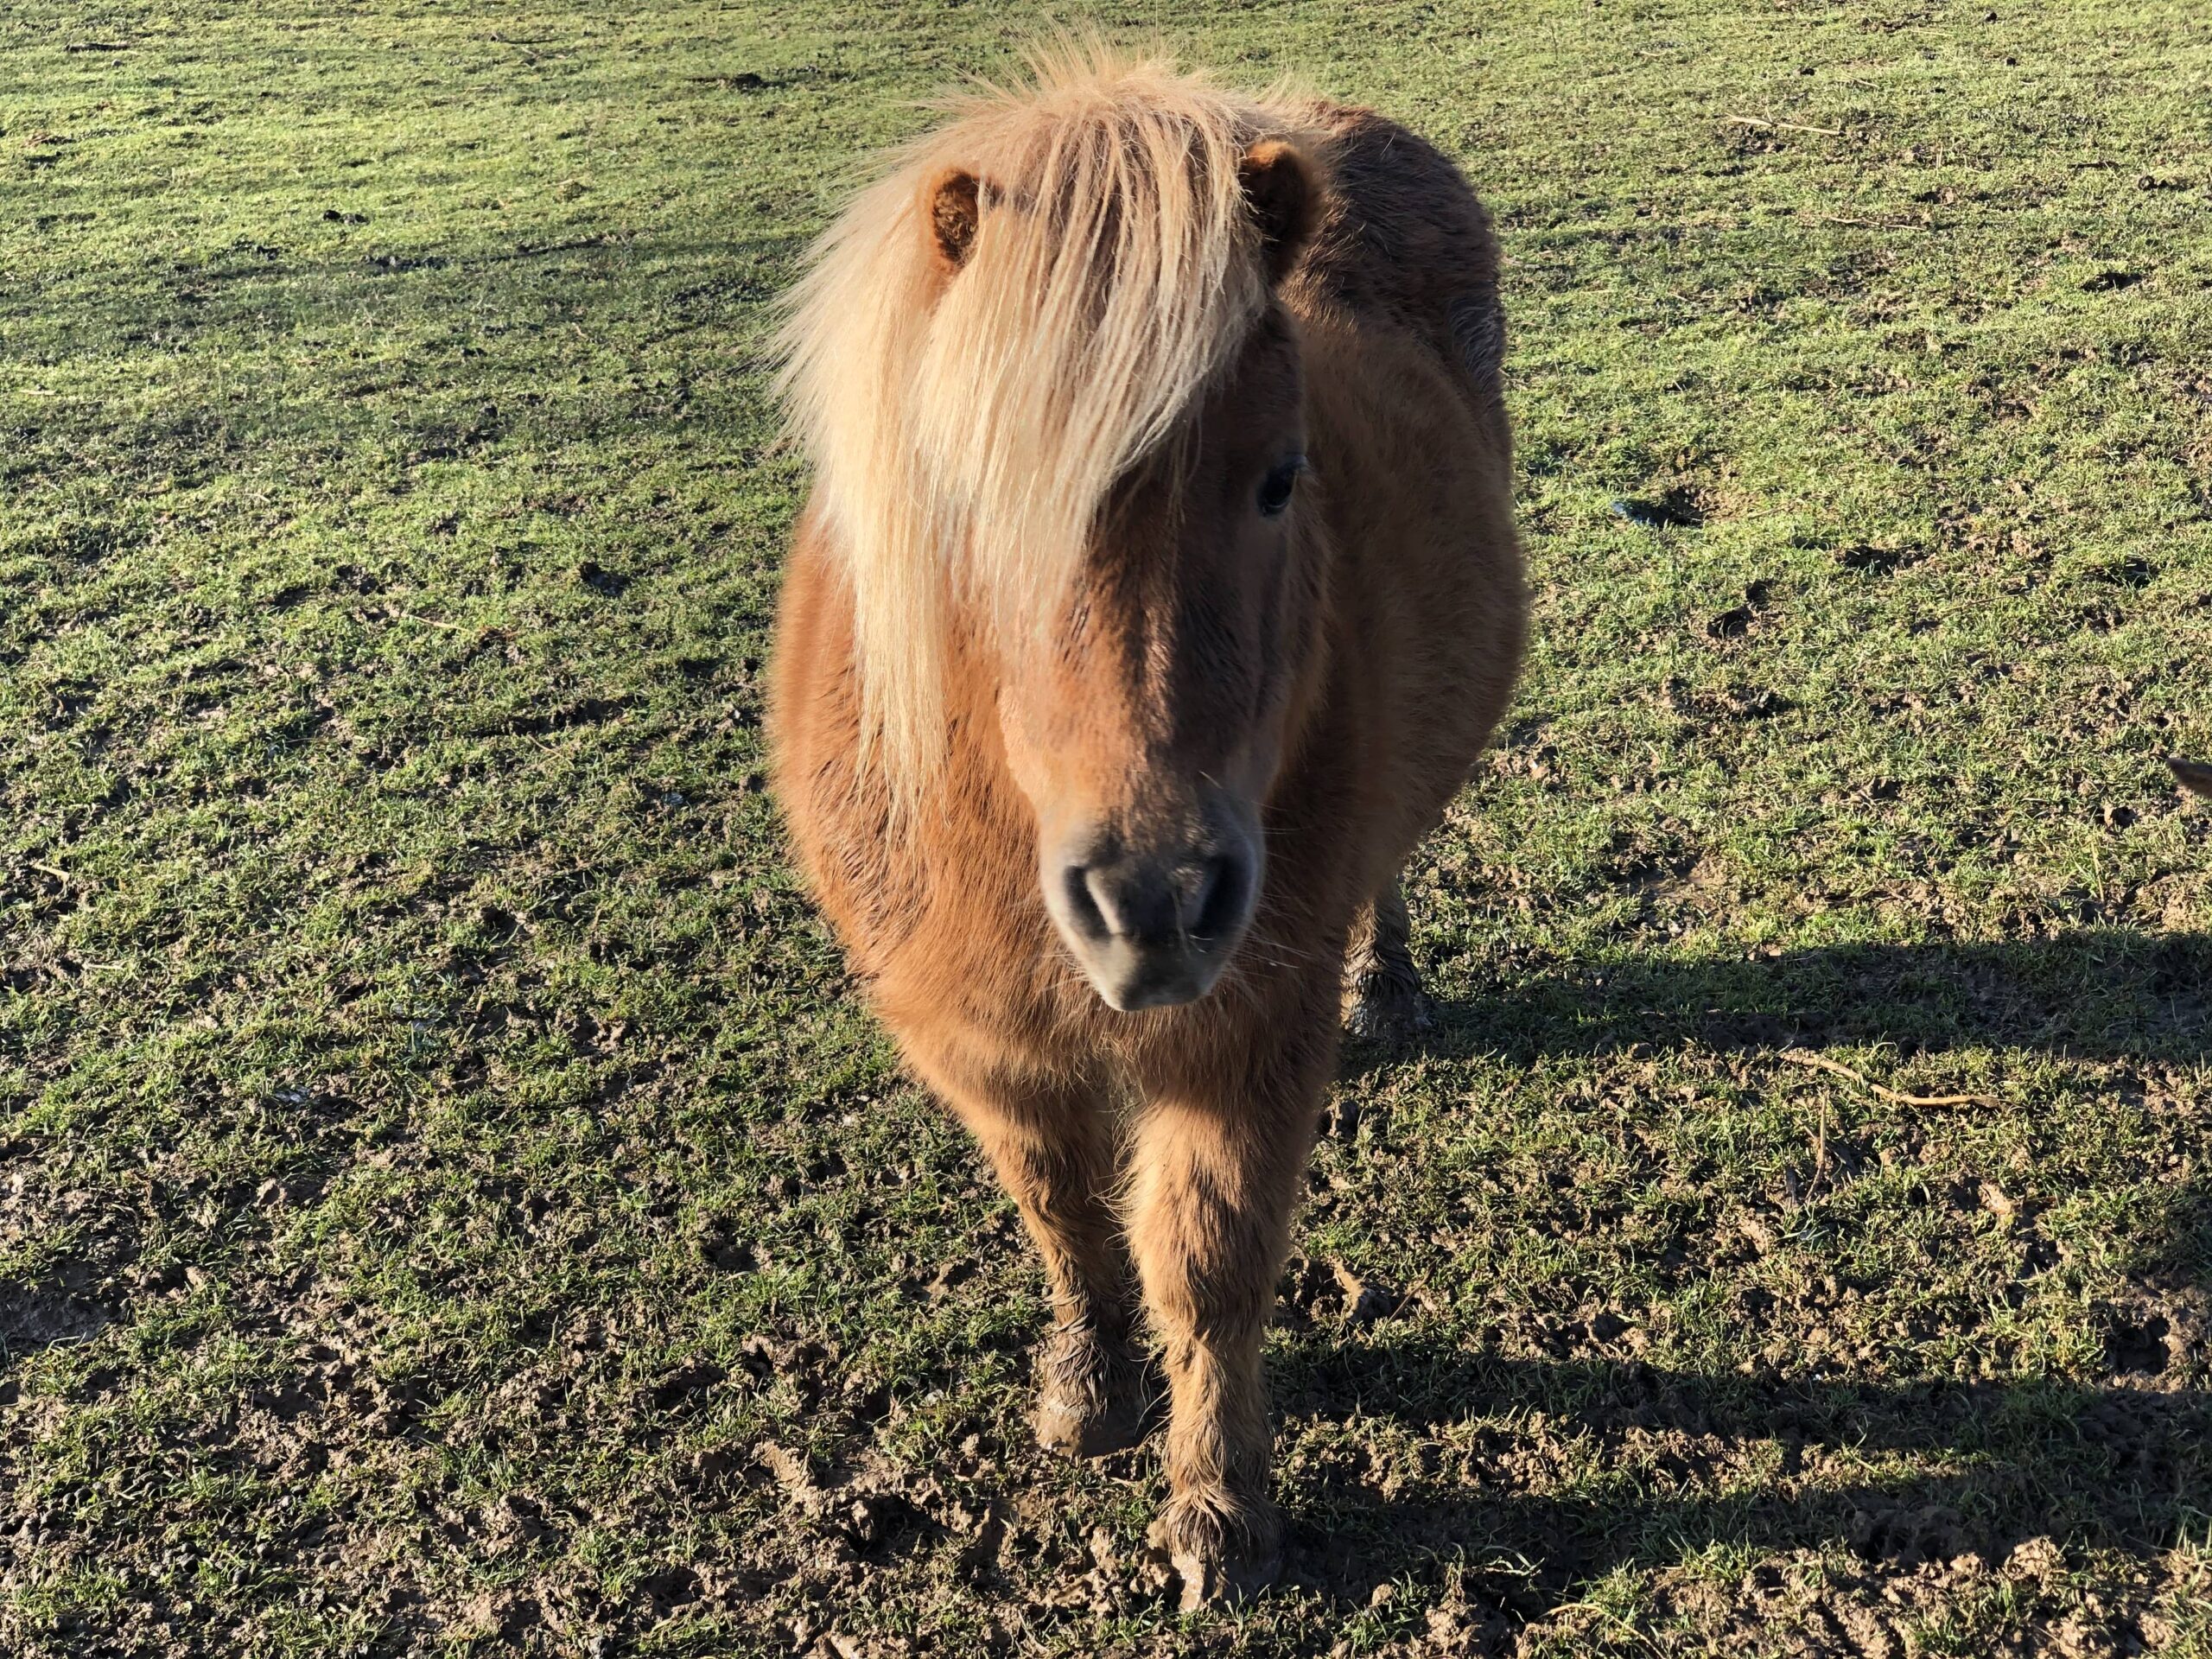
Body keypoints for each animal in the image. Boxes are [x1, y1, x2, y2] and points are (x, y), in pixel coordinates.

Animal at [774, 48, 1522, 1610]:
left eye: (1282, 476)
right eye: (963, 496)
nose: (1156, 902)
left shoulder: (1242, 1044)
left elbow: (1207, 1264)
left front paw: (1218, 1512)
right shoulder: (976, 1042)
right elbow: (1063, 1212)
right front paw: (1086, 1387)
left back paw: (1389, 987)